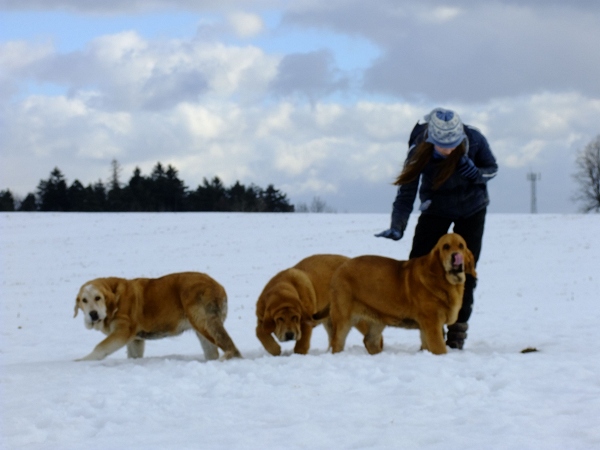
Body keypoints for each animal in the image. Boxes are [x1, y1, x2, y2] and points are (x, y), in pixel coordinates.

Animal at [74, 270, 241, 362]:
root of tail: (218, 286)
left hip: (204, 321)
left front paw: (82, 360)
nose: (93, 314)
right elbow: (134, 355)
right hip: (202, 329)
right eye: (84, 300)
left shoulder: (122, 332)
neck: (115, 298)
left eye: (98, 298)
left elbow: (100, 347)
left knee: (231, 347)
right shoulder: (135, 340)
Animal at [326, 234, 476, 356]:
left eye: (461, 246)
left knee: (370, 341)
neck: (444, 280)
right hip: (343, 318)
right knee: (337, 343)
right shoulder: (432, 323)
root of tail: (340, 268)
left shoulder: (427, 327)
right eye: (446, 247)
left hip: (377, 319)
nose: (455, 256)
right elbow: (439, 349)